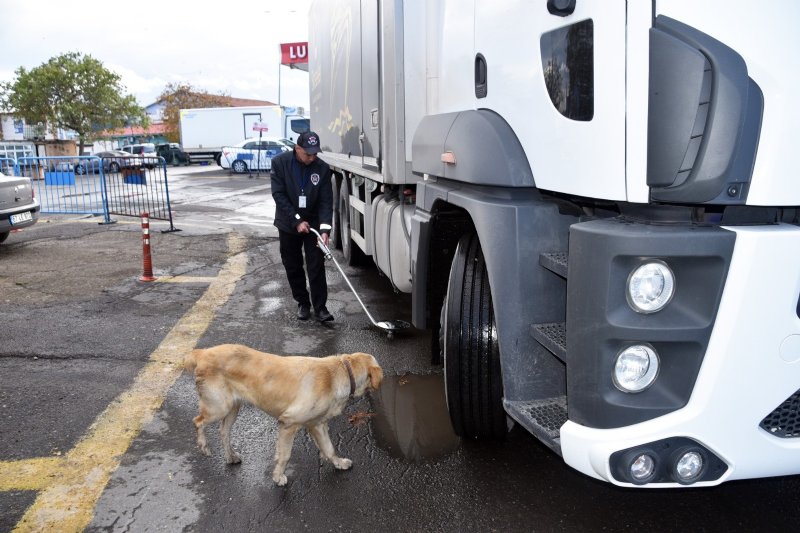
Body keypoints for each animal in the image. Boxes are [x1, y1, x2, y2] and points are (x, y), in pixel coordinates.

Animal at [184, 342, 382, 484]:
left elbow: (329, 448)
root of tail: (202, 352)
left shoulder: (317, 424)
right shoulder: (288, 423)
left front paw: (339, 463)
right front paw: (278, 477)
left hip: (233, 408)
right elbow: (285, 455)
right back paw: (203, 446)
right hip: (218, 407)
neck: (339, 372)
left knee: (223, 431)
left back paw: (230, 456)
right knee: (197, 421)